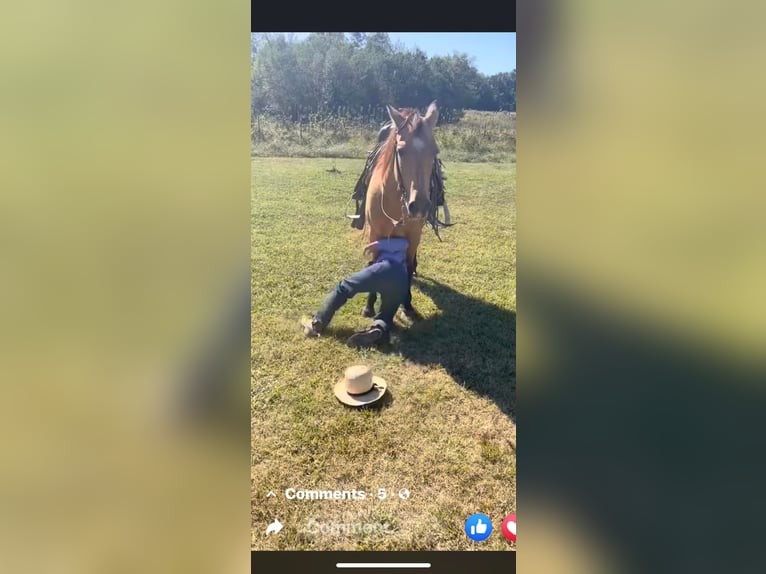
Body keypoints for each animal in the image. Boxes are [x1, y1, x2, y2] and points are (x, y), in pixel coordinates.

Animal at [362, 101, 440, 322]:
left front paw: (407, 304)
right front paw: (369, 306)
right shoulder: (376, 234)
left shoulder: (413, 236)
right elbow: (374, 263)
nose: (419, 206)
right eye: (401, 151)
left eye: (434, 151)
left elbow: (407, 267)